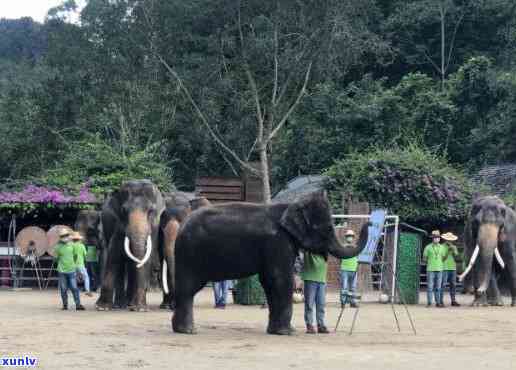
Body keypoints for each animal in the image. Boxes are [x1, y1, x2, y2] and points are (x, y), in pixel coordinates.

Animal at [94, 181, 163, 310]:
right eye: (124, 211)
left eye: (151, 211)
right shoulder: (118, 226)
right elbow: (113, 255)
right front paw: (102, 307)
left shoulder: (155, 228)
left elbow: (147, 256)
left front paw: (140, 309)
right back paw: (120, 305)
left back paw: (129, 304)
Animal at [171, 191, 368, 336]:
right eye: (326, 228)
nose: (370, 223)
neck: (289, 206)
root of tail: (182, 226)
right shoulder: (277, 242)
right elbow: (280, 279)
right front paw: (287, 332)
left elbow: (269, 281)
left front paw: (275, 331)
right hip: (190, 254)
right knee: (188, 288)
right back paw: (188, 331)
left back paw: (180, 329)